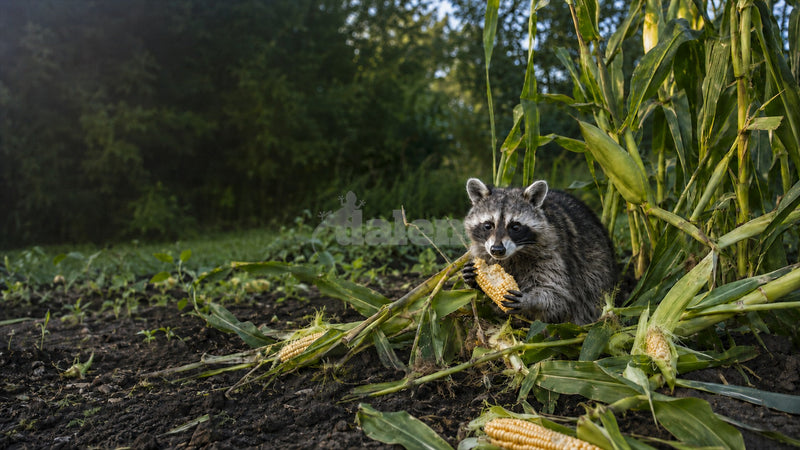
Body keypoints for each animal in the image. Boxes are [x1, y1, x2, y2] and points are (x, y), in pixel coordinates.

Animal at [462, 178, 617, 325]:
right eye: (488, 225)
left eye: (515, 227)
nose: (497, 250)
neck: (513, 255)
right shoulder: (484, 251)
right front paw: (472, 280)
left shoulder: (552, 253)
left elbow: (557, 294)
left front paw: (531, 300)